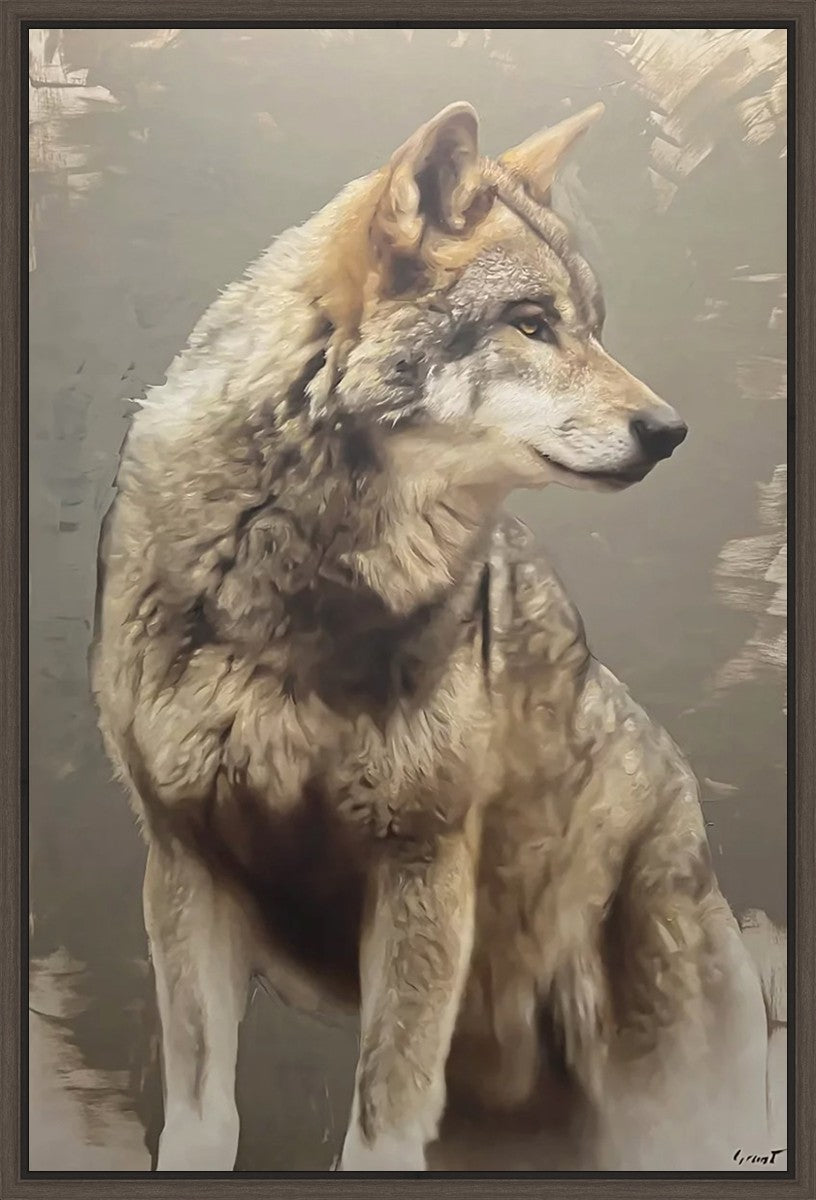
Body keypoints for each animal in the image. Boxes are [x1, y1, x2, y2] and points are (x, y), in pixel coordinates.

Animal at [91, 101, 774, 1171]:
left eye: (593, 326)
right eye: (532, 323)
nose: (670, 431)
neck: (295, 590)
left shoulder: (422, 867)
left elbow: (381, 1127)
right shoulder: (186, 864)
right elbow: (205, 1120)